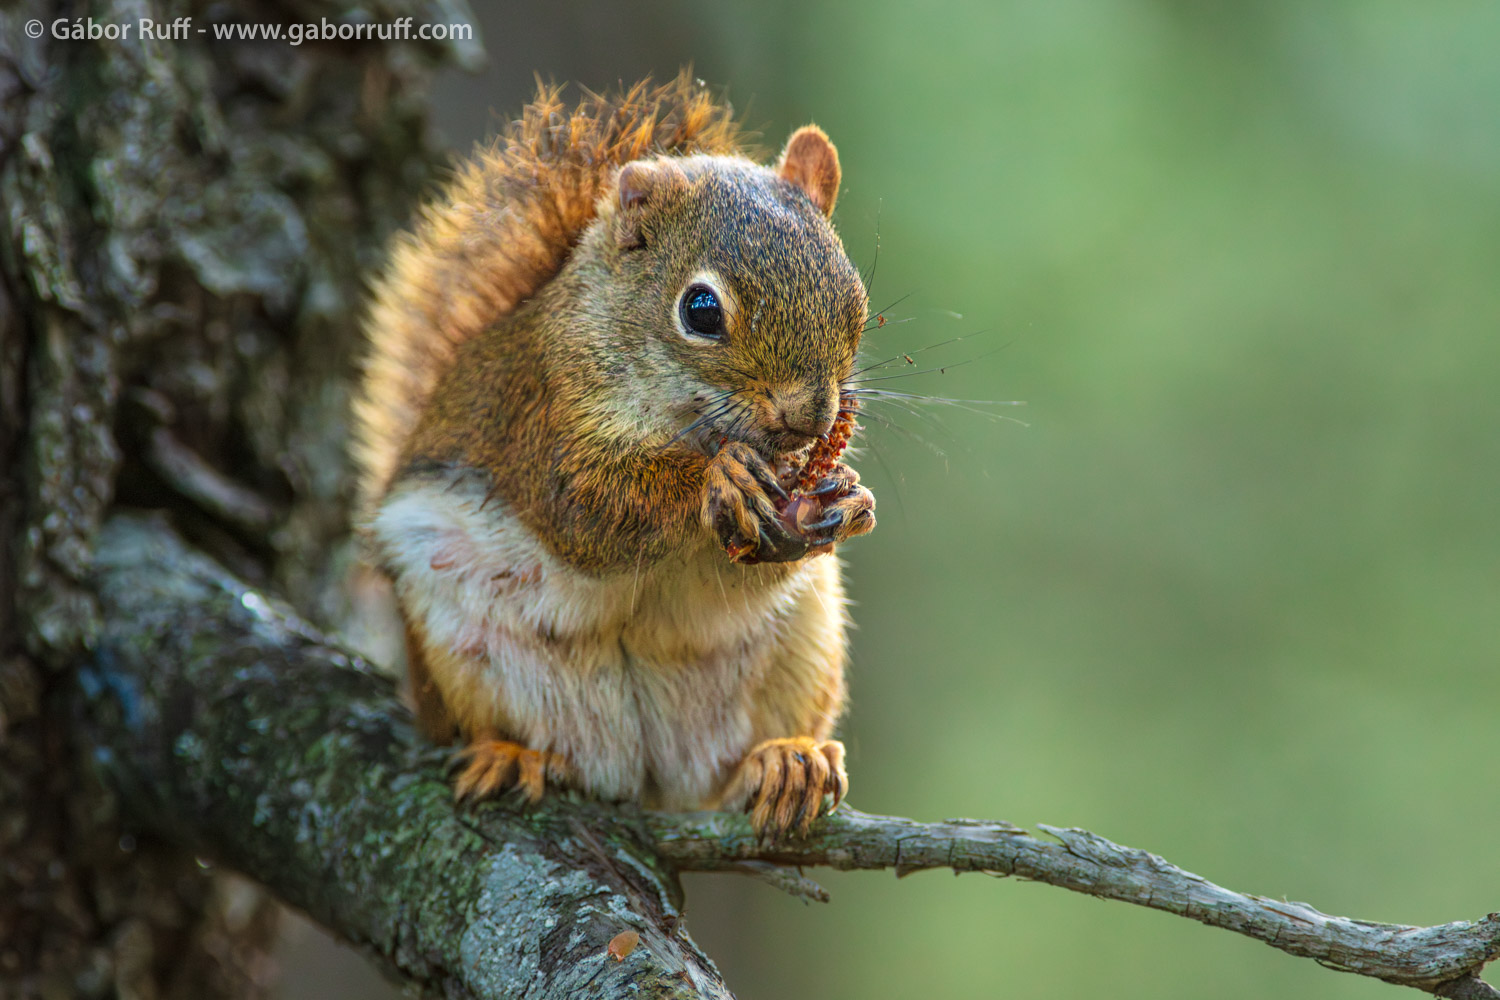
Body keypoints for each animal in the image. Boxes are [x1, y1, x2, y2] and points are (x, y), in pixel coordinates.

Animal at [352, 76, 876, 839]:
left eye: (855, 298)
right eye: (700, 310)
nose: (808, 416)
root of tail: (647, 781)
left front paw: (847, 500)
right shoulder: (543, 421)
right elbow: (589, 511)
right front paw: (718, 480)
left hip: (803, 648)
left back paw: (788, 761)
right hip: (459, 652)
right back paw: (512, 755)